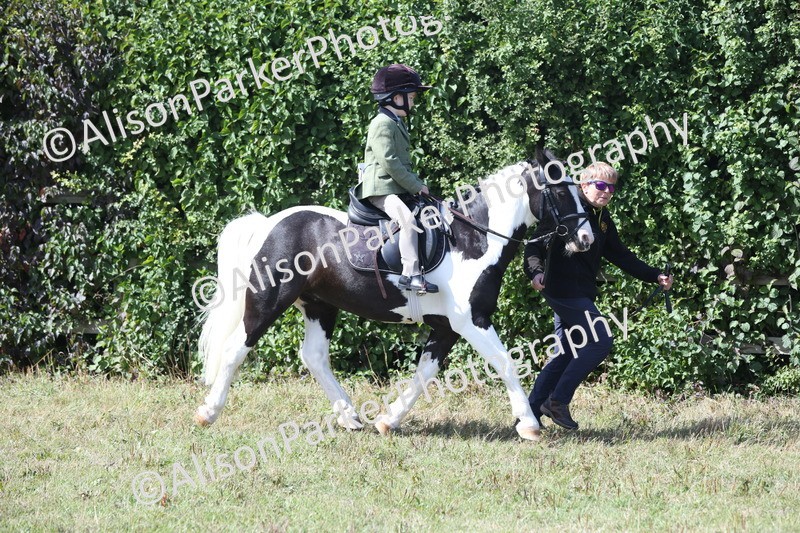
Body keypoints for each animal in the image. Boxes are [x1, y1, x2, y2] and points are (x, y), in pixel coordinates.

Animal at [194, 150, 594, 441]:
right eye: (561, 191)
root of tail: (269, 223)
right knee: (236, 349)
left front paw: (388, 420)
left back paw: (351, 417)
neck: (473, 240)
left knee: (314, 356)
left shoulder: (446, 328)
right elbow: (505, 362)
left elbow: (424, 374)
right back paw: (208, 413)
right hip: (268, 301)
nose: (586, 238)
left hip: (319, 305)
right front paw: (529, 425)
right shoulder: (472, 322)